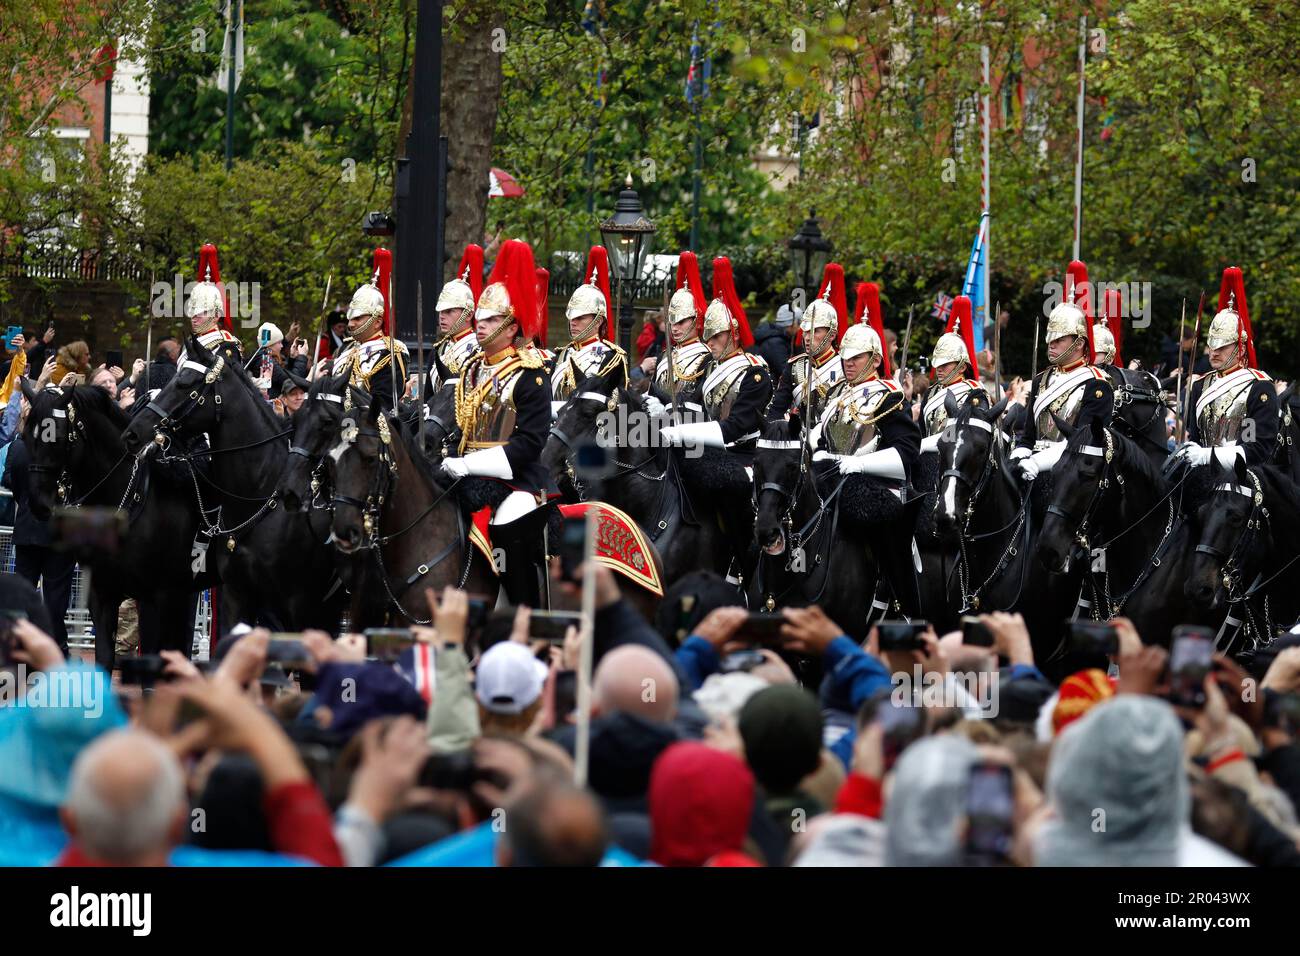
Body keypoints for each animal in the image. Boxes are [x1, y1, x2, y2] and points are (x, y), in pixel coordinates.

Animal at [19, 382, 210, 671]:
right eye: (26, 436)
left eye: (59, 435)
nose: (39, 503)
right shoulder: (102, 596)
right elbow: (105, 657)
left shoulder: (161, 596)